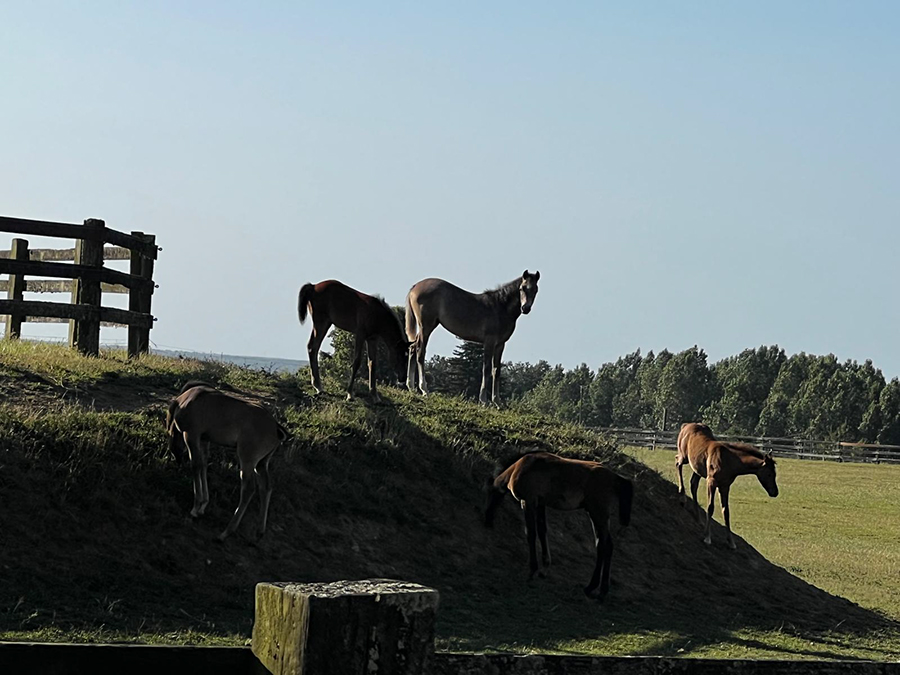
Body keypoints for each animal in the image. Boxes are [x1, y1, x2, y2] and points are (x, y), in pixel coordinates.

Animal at [164, 382, 284, 540]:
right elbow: (203, 466)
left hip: (247, 461)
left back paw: (226, 532)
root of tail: (276, 427)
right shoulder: (204, 440)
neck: (186, 400)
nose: (176, 460)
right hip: (261, 464)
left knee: (248, 489)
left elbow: (196, 466)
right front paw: (203, 504)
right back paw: (260, 531)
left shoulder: (191, 435)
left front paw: (196, 508)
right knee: (266, 488)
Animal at [406, 270, 540, 406]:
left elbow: (496, 371)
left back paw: (411, 387)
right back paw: (424, 389)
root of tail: (415, 287)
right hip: (426, 326)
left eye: (535, 289)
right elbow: (486, 368)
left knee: (412, 348)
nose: (525, 308)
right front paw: (484, 400)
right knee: (420, 351)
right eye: (522, 288)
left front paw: (497, 402)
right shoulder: (489, 341)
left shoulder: (500, 344)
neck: (501, 307)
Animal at [486, 454, 632, 604]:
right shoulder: (540, 504)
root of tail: (616, 478)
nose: (487, 520)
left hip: (598, 515)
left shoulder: (528, 502)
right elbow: (542, 531)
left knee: (605, 546)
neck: (520, 468)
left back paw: (597, 589)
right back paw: (595, 589)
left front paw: (532, 570)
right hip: (597, 517)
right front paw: (544, 568)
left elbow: (531, 533)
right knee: (604, 546)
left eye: (489, 494)